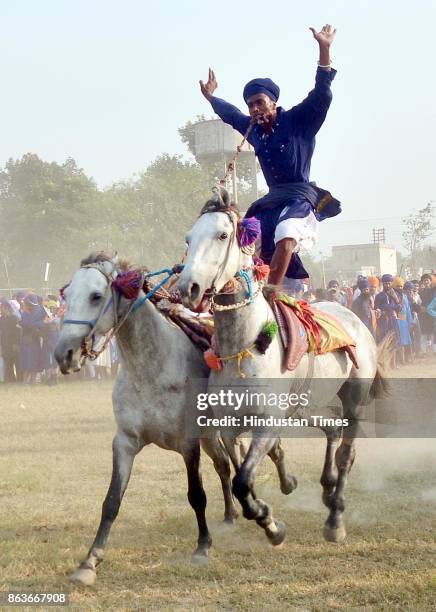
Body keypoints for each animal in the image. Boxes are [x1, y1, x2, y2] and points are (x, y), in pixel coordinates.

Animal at [177, 190, 392, 544]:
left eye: (222, 235)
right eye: (188, 238)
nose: (187, 289)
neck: (244, 346)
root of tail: (357, 321)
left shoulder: (267, 421)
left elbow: (242, 480)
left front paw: (270, 522)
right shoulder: (229, 425)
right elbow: (240, 477)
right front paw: (269, 515)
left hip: (355, 396)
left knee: (347, 451)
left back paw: (335, 518)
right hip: (305, 405)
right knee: (332, 428)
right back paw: (326, 489)